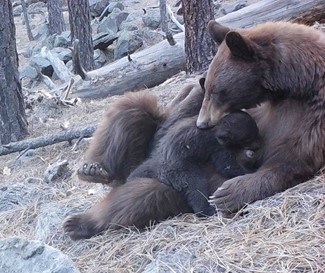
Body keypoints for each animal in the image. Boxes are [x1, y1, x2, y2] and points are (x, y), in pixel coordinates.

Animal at [196, 21, 324, 212]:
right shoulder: (266, 115)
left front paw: (226, 194)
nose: (201, 123)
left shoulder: (314, 115)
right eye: (208, 88)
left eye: (217, 91)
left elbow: (294, 157)